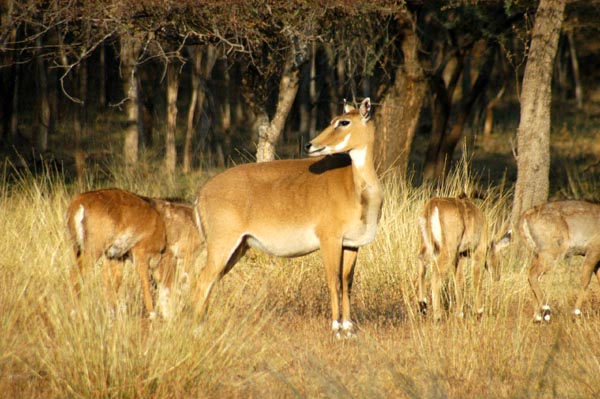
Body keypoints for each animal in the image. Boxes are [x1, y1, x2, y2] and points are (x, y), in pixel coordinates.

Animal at [192, 98, 382, 340]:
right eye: (334, 120)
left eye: (344, 121)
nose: (310, 145)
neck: (358, 190)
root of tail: (201, 194)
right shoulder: (330, 239)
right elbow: (334, 281)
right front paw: (336, 328)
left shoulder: (351, 244)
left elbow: (347, 282)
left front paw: (349, 328)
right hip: (222, 243)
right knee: (202, 280)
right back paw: (197, 328)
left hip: (238, 247)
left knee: (209, 281)